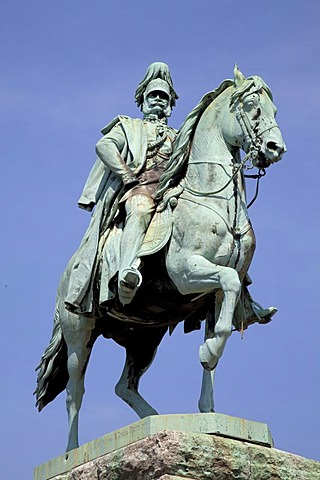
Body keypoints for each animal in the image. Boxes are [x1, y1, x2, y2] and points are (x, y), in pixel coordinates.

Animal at [34, 65, 284, 452]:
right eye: (251, 106)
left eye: (274, 108)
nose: (276, 147)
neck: (212, 201)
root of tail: (65, 276)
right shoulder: (187, 273)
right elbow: (225, 291)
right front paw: (207, 353)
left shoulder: (214, 298)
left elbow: (221, 332)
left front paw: (208, 410)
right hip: (80, 331)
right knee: (75, 390)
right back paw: (73, 451)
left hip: (143, 338)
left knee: (124, 386)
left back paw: (152, 421)